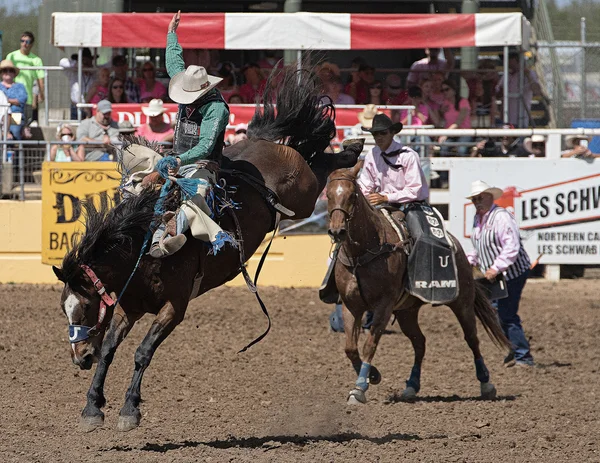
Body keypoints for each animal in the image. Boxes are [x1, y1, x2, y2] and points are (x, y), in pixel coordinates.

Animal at [51, 63, 358, 434]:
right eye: (63, 309)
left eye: (83, 306)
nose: (79, 357)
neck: (143, 253)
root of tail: (263, 142)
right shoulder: (129, 308)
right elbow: (110, 348)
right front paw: (92, 408)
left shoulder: (174, 307)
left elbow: (142, 352)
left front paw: (129, 410)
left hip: (305, 195)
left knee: (320, 162)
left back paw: (352, 149)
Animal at [326, 163, 508, 406]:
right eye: (328, 195)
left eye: (352, 195)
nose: (337, 231)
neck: (364, 252)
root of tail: (457, 245)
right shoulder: (351, 306)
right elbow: (350, 348)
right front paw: (373, 376)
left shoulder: (383, 306)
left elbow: (369, 345)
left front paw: (359, 388)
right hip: (407, 312)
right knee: (419, 342)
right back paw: (411, 386)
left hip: (462, 302)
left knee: (471, 338)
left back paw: (486, 383)